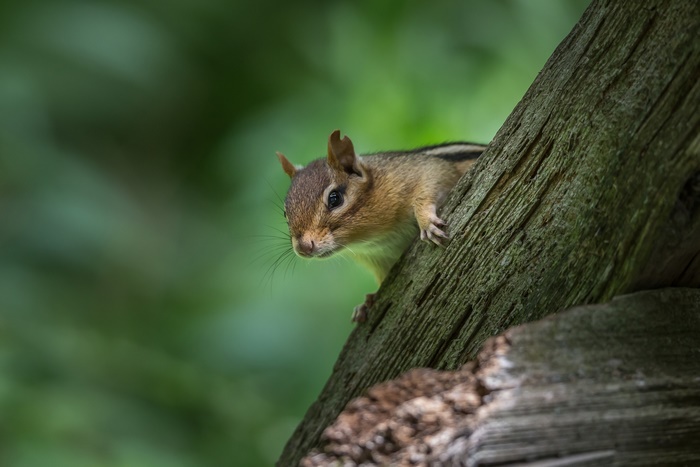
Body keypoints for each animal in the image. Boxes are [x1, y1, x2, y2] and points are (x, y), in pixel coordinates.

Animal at [277, 130, 486, 322]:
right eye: (285, 213)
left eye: (335, 198)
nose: (303, 247)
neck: (376, 240)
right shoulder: (379, 261)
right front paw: (366, 303)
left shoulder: (427, 170)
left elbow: (428, 189)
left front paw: (426, 221)